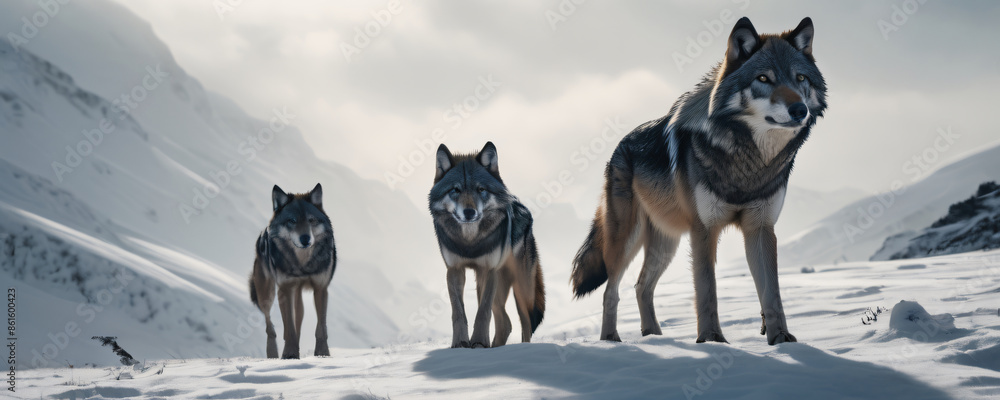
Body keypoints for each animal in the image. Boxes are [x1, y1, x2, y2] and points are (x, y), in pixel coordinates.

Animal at [249, 183, 337, 358]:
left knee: (298, 323)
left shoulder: (321, 288)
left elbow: (321, 327)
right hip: (267, 294)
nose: (305, 239)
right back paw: (273, 354)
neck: (302, 264)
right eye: (292, 221)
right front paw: (290, 354)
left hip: (297, 296)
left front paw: (322, 353)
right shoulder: (285, 289)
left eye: (311, 220)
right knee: (270, 325)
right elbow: (289, 328)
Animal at [430, 142, 546, 348]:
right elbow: (458, 312)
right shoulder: (454, 270)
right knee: (505, 323)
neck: (470, 242)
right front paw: (460, 344)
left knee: (525, 323)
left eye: (481, 189)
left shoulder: (488, 270)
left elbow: (482, 313)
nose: (469, 212)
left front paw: (479, 343)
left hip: (521, 288)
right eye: (455, 190)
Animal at [571, 17, 826, 345]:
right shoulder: (704, 229)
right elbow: (707, 289)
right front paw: (712, 339)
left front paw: (780, 338)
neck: (747, 160)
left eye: (800, 78)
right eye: (763, 78)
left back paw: (655, 337)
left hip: (666, 242)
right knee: (610, 291)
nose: (799, 110)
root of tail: (619, 146)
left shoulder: (760, 228)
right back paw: (611, 339)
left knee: (642, 286)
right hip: (627, 239)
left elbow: (772, 293)